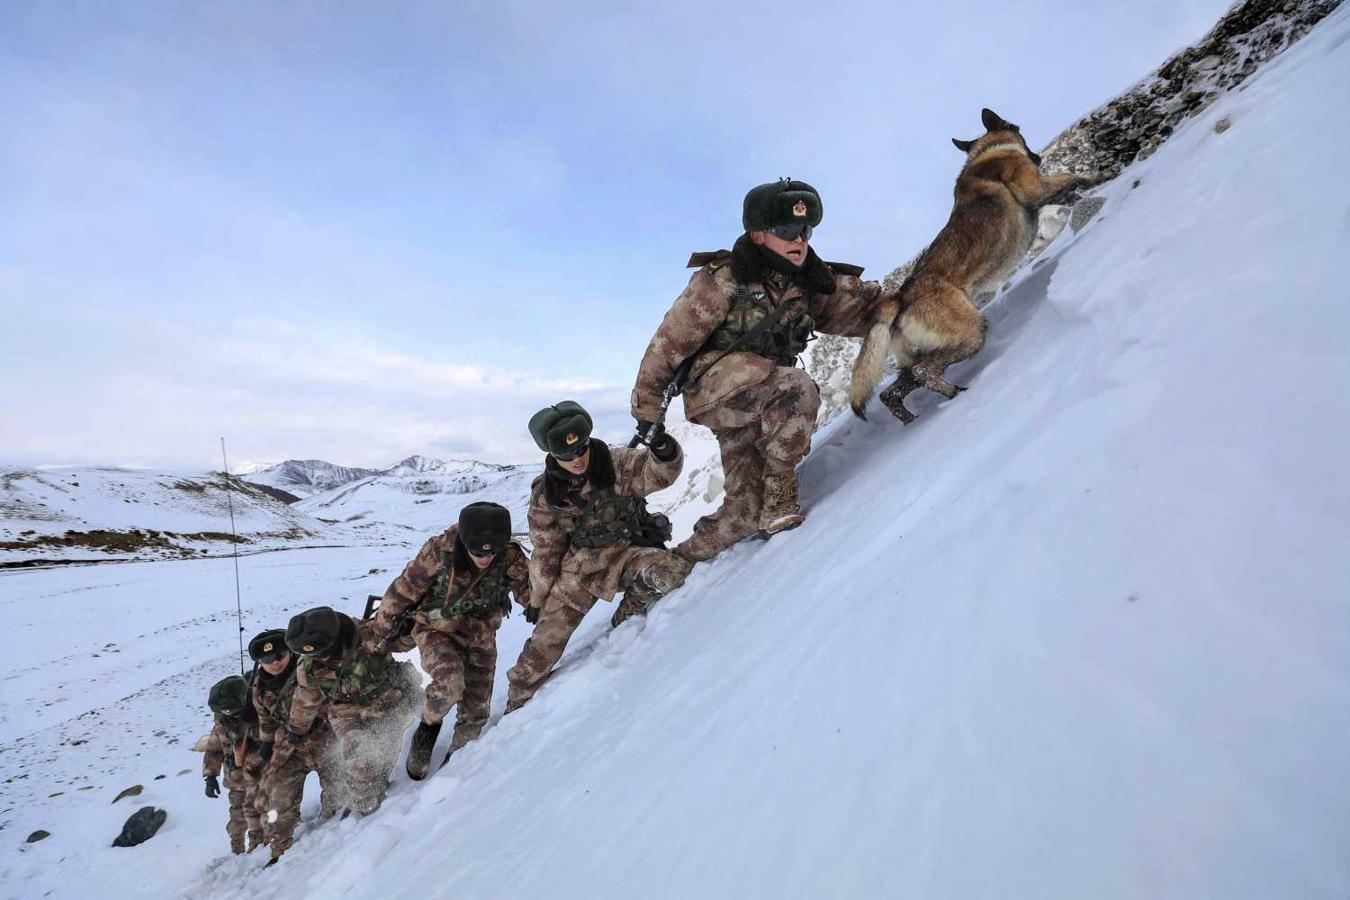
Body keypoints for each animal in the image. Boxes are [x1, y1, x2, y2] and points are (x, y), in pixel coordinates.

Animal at [853, 107, 1096, 423]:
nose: (1038, 158)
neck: (986, 152)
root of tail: (900, 297)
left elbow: (1071, 188)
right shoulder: (1036, 188)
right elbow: (1073, 176)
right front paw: (1097, 177)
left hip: (920, 354)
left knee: (893, 391)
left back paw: (914, 414)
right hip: (970, 332)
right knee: (923, 371)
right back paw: (955, 395)